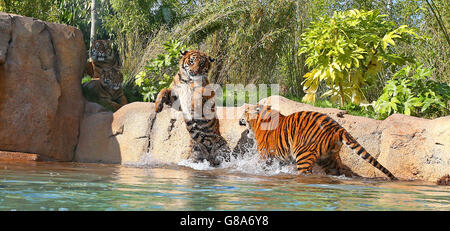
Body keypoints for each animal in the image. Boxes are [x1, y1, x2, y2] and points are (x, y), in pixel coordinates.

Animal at [239, 104, 398, 181]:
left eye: (245, 111)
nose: (240, 119)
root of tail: (337, 127)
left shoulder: (264, 154)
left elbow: (259, 164)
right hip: (329, 158)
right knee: (338, 172)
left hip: (303, 154)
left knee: (306, 172)